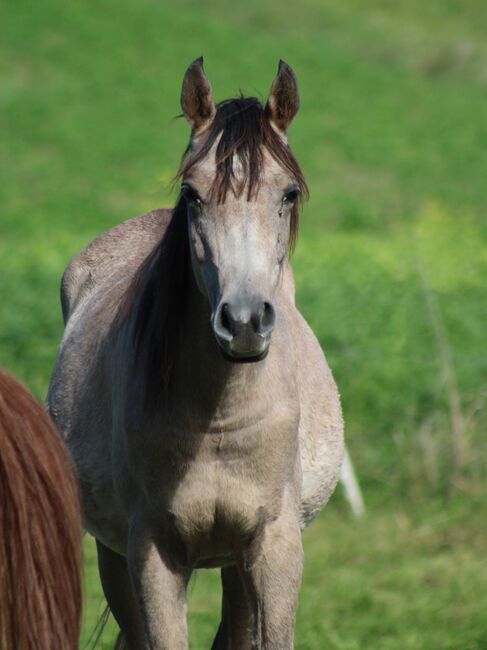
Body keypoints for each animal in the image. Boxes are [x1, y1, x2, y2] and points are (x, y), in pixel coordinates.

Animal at [46, 58, 344, 644]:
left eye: (288, 194)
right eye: (192, 192)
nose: (244, 321)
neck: (219, 422)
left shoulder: (275, 549)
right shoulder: (151, 555)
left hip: (235, 563)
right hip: (114, 555)